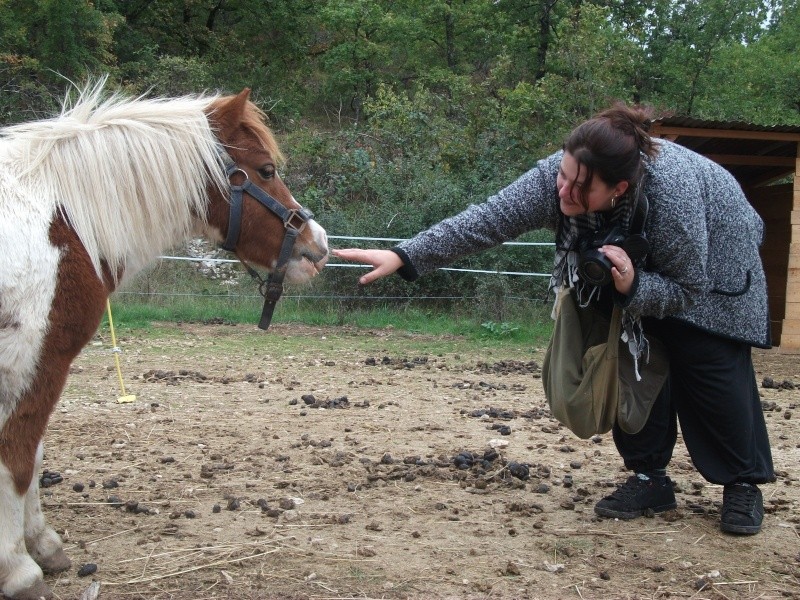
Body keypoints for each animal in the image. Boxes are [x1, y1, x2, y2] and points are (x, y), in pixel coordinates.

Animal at [0, 81, 328, 600]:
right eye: (266, 170)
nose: (319, 245)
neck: (60, 222)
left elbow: (32, 455)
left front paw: (42, 544)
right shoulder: (34, 362)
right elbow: (18, 460)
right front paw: (19, 568)